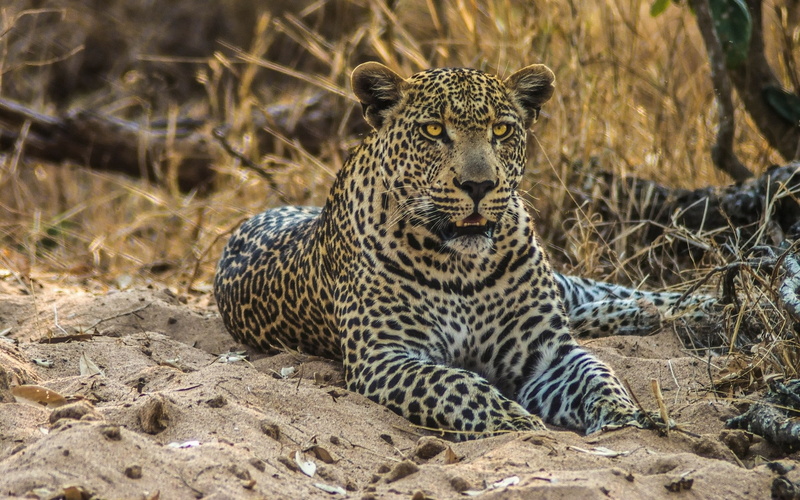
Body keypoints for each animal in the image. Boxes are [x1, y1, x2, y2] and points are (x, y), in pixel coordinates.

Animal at [214, 62, 711, 439]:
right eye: (434, 130)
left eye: (502, 130)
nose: (479, 185)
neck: (462, 266)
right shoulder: (385, 356)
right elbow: (455, 383)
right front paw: (515, 421)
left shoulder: (548, 352)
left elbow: (597, 373)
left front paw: (623, 414)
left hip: (562, 284)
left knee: (593, 293)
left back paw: (691, 306)